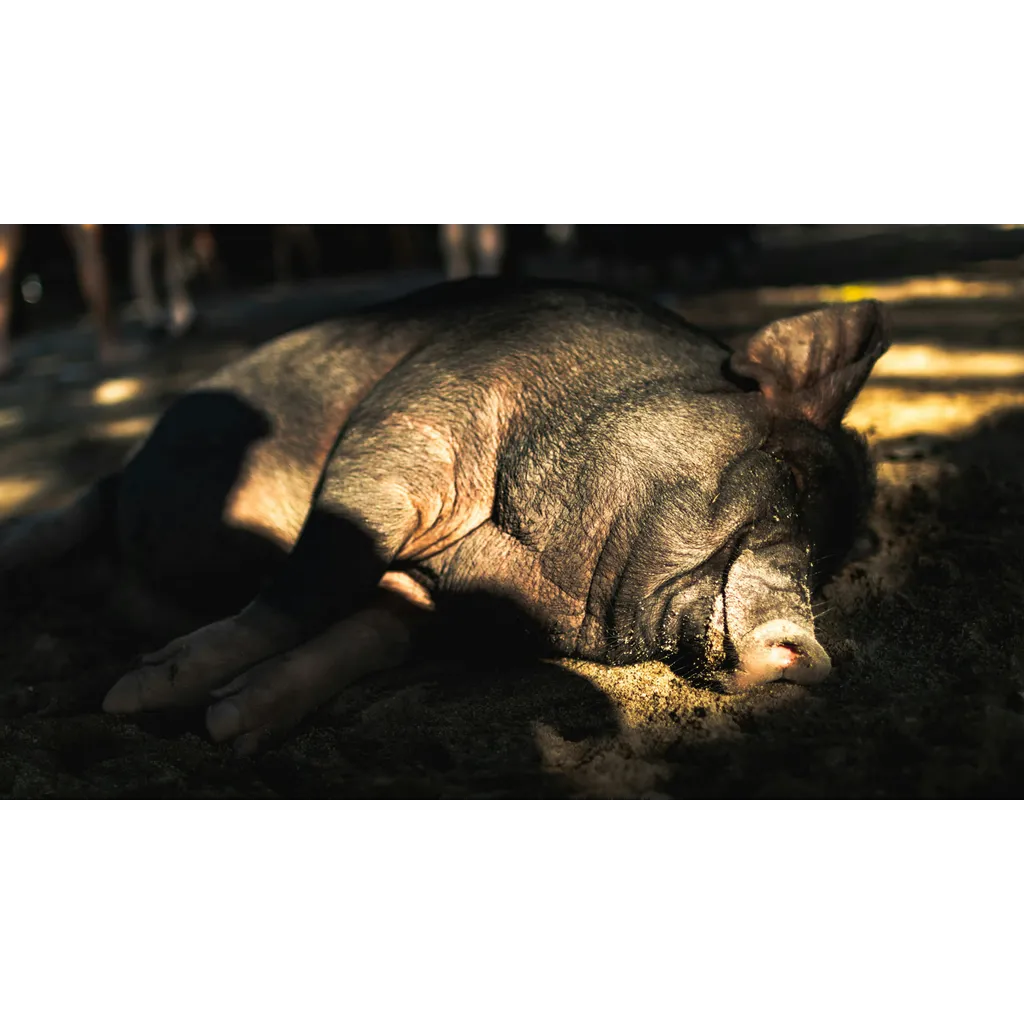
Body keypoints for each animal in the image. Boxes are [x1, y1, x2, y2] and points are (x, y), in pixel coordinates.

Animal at [0, 277, 889, 755]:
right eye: (789, 478)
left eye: (828, 568)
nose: (813, 655)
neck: (540, 575)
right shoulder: (407, 433)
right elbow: (312, 585)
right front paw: (139, 697)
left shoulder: (438, 604)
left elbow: (366, 635)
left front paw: (231, 724)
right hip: (100, 493)